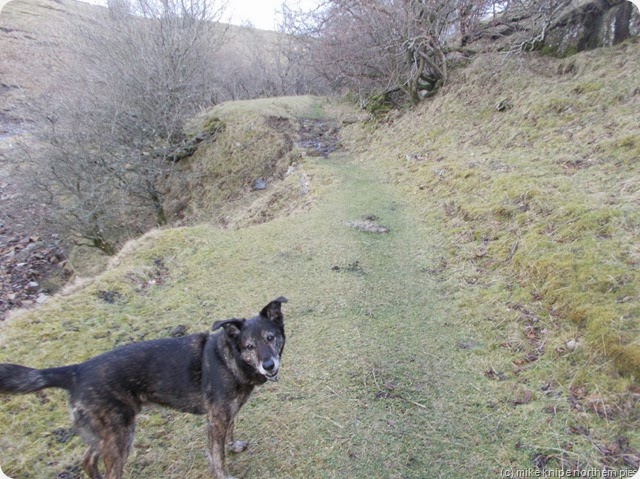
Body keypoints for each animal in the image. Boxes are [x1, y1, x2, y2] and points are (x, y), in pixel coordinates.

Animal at [0, 296, 288, 479]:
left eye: (270, 338)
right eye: (249, 346)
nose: (269, 365)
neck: (230, 358)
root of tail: (76, 370)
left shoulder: (225, 414)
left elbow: (229, 434)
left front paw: (233, 446)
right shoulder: (215, 418)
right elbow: (216, 455)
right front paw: (223, 473)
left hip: (105, 433)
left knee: (87, 460)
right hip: (120, 435)